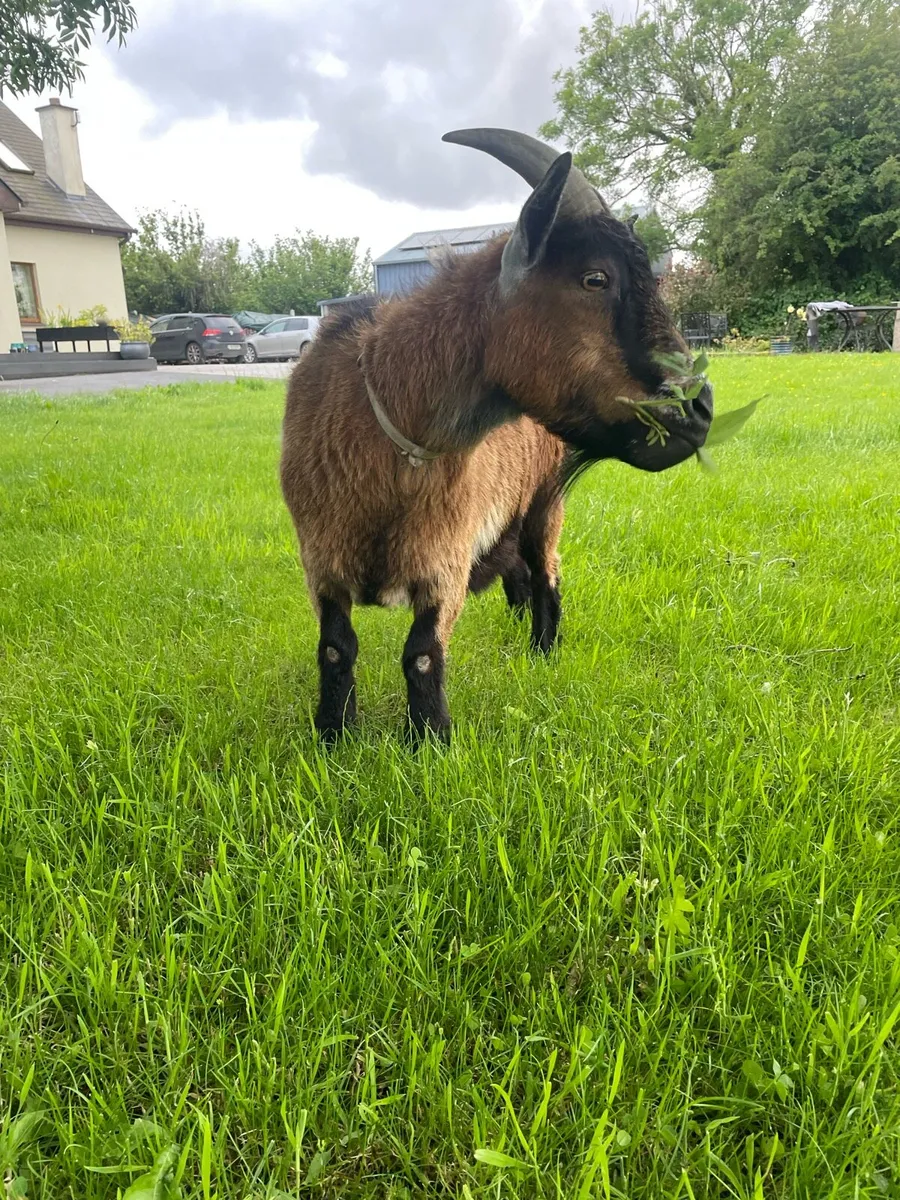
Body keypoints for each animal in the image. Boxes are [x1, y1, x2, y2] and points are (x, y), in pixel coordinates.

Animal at [280, 128, 713, 741]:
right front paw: (332, 738)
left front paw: (429, 742)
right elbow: (337, 649)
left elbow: (421, 653)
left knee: (547, 577)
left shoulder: (447, 557)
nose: (698, 406)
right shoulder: (320, 556)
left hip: (543, 504)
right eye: (595, 277)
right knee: (522, 578)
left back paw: (542, 655)